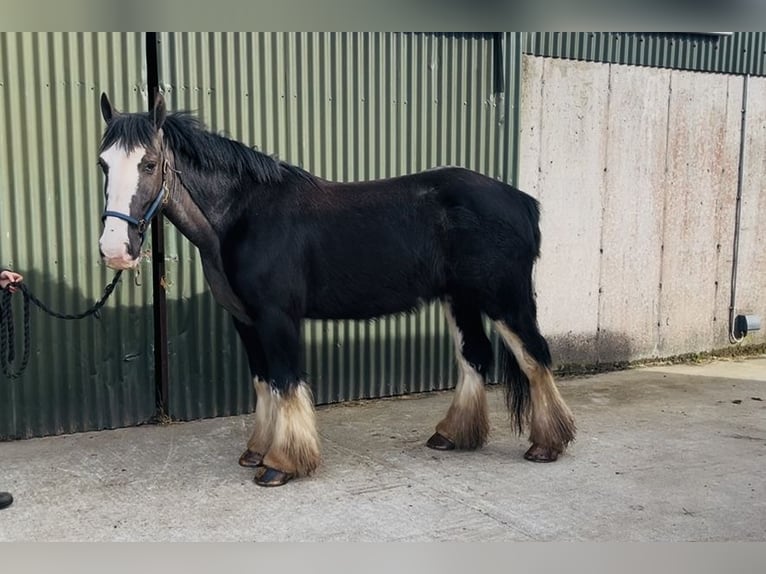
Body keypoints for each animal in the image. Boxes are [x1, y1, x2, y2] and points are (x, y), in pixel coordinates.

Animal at [97, 92, 576, 487]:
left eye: (149, 164)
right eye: (103, 163)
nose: (115, 249)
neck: (243, 215)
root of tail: (523, 202)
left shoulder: (276, 317)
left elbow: (286, 382)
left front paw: (282, 464)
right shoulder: (245, 320)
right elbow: (264, 383)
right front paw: (256, 451)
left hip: (505, 299)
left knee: (535, 357)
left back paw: (547, 444)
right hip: (460, 299)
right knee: (474, 357)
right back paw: (452, 435)